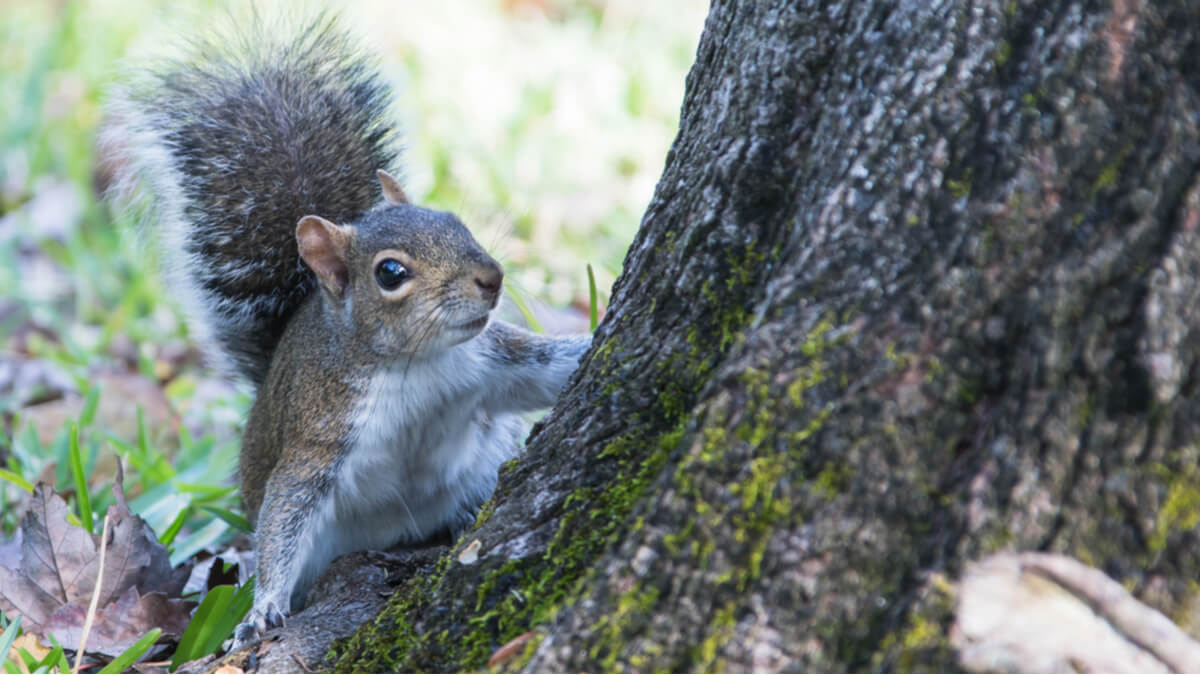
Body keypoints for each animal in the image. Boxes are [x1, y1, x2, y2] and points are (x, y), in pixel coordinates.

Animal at [105, 13, 592, 643]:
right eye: (391, 273)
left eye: (454, 221)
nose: (492, 278)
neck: (415, 365)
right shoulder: (321, 431)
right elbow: (285, 513)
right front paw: (263, 606)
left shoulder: (488, 360)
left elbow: (547, 368)